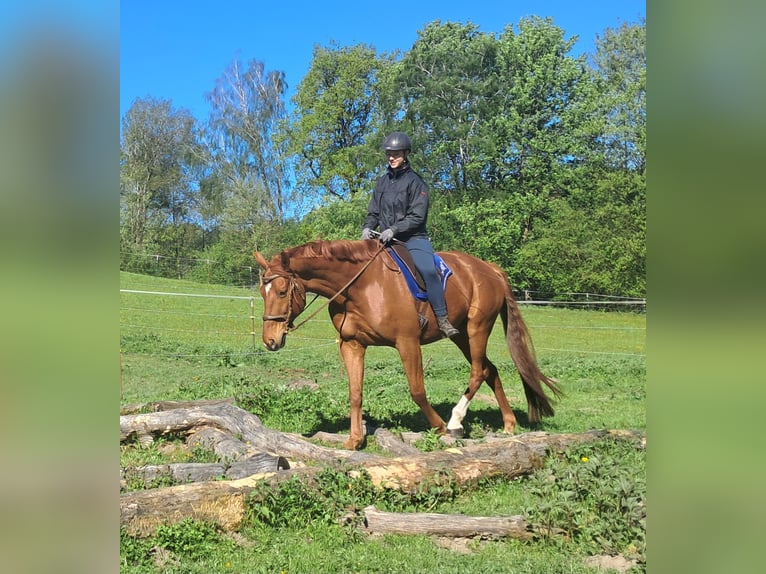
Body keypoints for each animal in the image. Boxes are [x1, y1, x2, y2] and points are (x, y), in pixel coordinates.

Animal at [253, 239, 562, 451]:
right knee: (490, 369)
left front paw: (438, 427)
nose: (271, 340)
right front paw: (355, 440)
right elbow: (355, 393)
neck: (361, 288)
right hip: (460, 334)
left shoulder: (407, 343)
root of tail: (490, 269)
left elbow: (417, 391)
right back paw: (509, 423)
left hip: (478, 328)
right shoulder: (352, 345)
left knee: (478, 371)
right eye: (262, 292)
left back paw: (455, 421)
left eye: (281, 291)